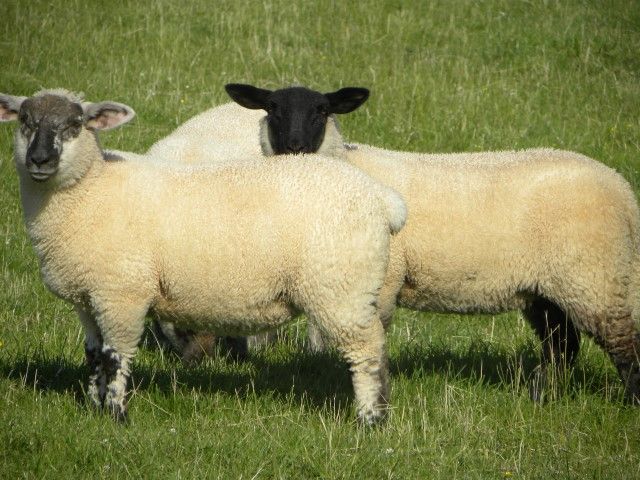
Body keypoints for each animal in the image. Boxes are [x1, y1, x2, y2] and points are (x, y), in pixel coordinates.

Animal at [0, 89, 409, 424]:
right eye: (25, 121)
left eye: (75, 124)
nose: (39, 159)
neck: (91, 191)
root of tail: (383, 198)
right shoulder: (87, 297)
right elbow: (94, 354)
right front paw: (94, 408)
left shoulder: (121, 295)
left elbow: (116, 357)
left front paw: (116, 415)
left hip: (341, 290)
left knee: (368, 353)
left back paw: (370, 420)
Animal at [223, 83, 640, 403]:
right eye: (272, 109)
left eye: (322, 110)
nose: (295, 147)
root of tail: (623, 190)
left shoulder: (382, 281)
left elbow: (369, 338)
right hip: (548, 286)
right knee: (561, 346)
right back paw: (541, 398)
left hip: (595, 276)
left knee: (622, 343)